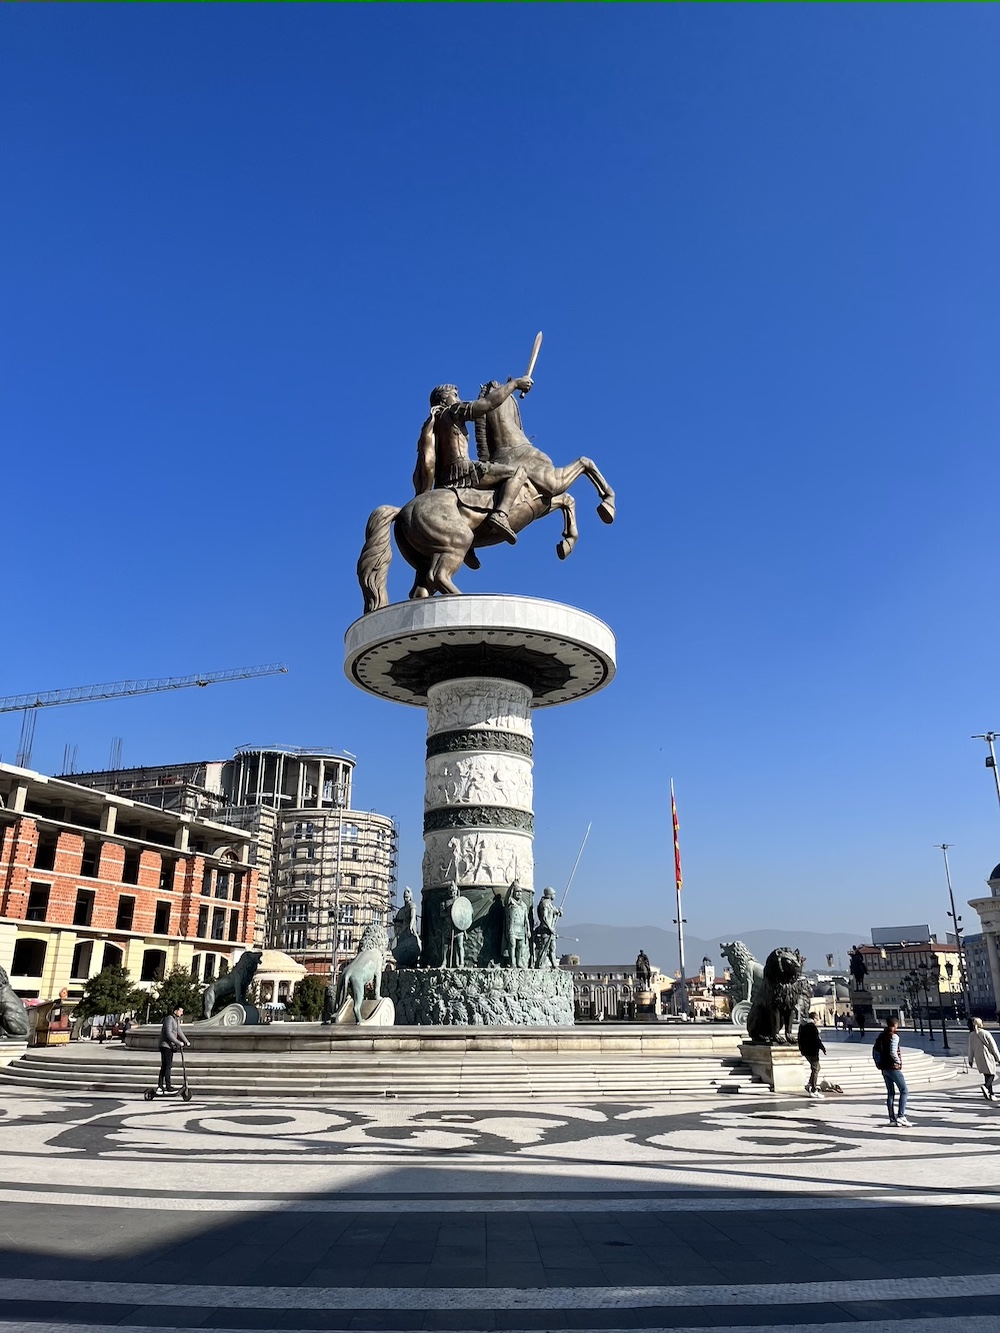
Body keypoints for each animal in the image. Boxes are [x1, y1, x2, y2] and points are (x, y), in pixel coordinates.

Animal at [357, 386, 616, 613]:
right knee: (437, 576)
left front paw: (566, 543)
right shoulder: (553, 481)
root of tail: (402, 511)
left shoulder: (542, 501)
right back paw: (464, 599)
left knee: (421, 589)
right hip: (457, 541)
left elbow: (568, 500)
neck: (514, 448)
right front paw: (607, 506)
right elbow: (585, 462)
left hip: (424, 557)